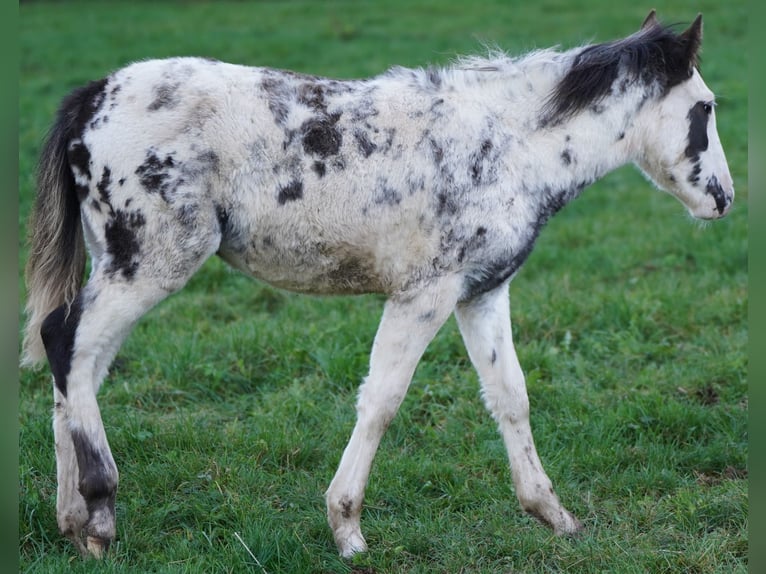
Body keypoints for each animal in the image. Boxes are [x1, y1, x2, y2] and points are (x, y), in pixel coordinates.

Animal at [22, 7, 732, 560]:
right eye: (705, 108)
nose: (723, 199)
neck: (509, 145)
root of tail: (92, 97)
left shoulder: (482, 292)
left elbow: (510, 395)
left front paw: (554, 516)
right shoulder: (425, 294)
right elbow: (384, 399)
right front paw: (347, 529)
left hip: (119, 264)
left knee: (77, 364)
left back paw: (70, 521)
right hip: (152, 261)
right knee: (67, 343)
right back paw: (100, 515)